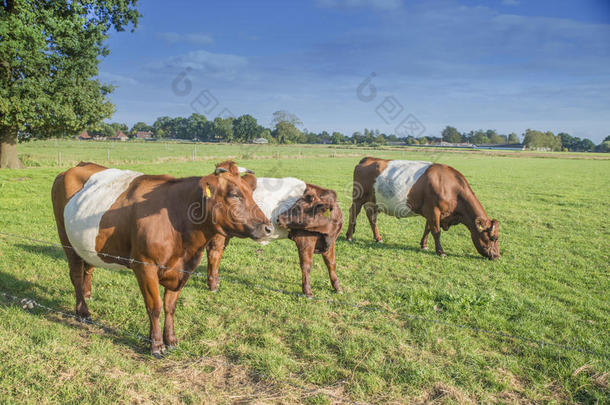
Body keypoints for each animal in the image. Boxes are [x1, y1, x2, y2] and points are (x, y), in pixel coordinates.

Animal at [51, 159, 270, 356]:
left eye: (251, 192)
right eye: (234, 194)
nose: (268, 228)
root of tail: (75, 167)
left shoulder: (183, 269)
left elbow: (170, 307)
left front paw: (170, 340)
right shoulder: (144, 265)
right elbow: (154, 306)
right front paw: (156, 345)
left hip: (87, 245)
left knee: (88, 268)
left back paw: (88, 294)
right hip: (65, 238)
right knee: (76, 275)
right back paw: (83, 311)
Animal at [344, 156, 496, 258]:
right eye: (493, 238)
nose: (497, 256)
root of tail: (368, 159)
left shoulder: (431, 212)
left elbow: (428, 229)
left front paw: (424, 245)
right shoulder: (434, 211)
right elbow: (436, 231)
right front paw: (441, 252)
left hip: (373, 201)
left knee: (372, 218)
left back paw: (378, 238)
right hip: (359, 198)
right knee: (353, 213)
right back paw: (350, 236)